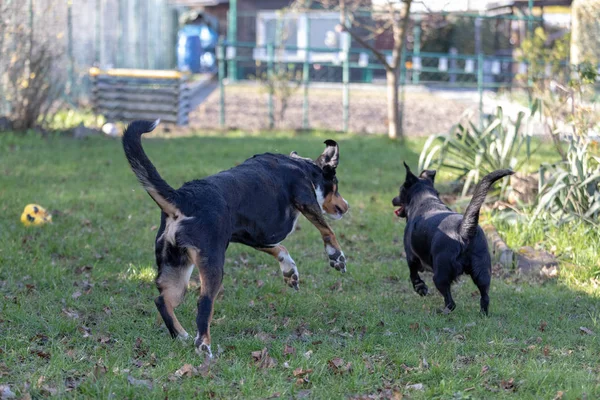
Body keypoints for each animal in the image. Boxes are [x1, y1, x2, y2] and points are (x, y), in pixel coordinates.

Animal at [122, 119, 350, 356]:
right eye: (336, 185)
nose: (346, 206)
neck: (300, 167)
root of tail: (183, 197)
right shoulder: (306, 199)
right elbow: (327, 230)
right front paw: (336, 257)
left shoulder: (253, 235)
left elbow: (280, 249)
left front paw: (290, 272)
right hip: (212, 265)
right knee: (203, 304)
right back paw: (204, 346)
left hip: (175, 267)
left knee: (162, 300)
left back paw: (182, 335)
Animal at [392, 162, 512, 316]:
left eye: (401, 190)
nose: (393, 200)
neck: (426, 200)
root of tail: (463, 229)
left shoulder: (411, 257)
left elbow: (414, 276)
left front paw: (421, 289)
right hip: (482, 272)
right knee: (485, 297)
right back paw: (482, 315)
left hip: (440, 276)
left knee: (451, 302)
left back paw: (441, 312)